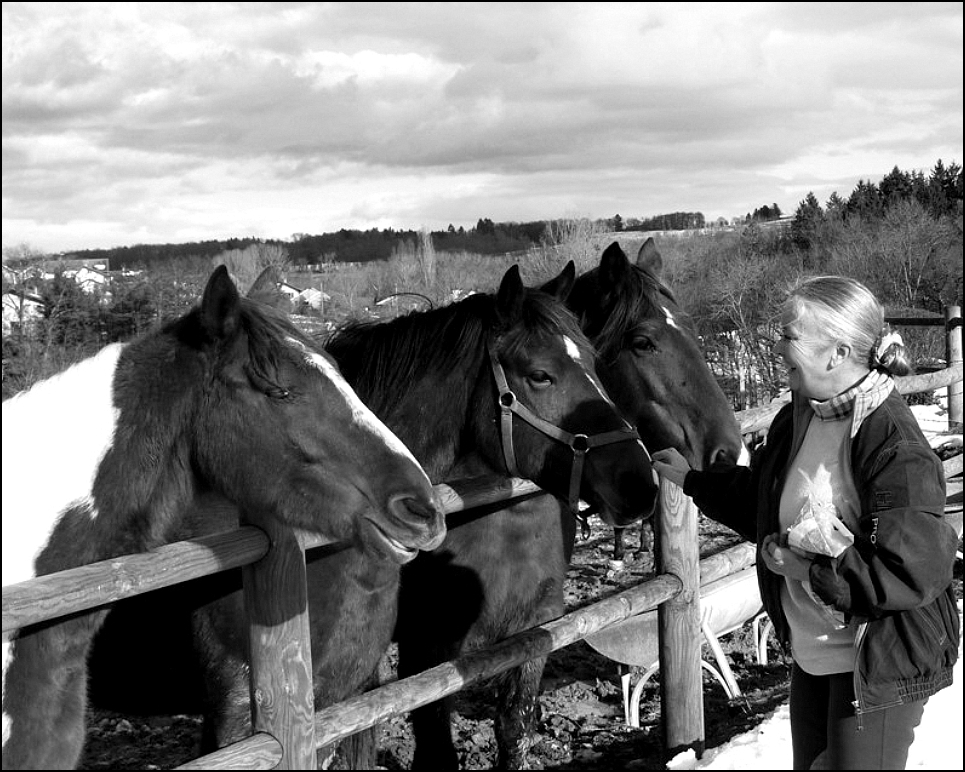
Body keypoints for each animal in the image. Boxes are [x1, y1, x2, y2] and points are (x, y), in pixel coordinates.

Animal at [394, 238, 744, 768]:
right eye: (642, 342)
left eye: (597, 362)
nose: (728, 454)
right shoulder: (423, 650)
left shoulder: (534, 626)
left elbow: (514, 728)